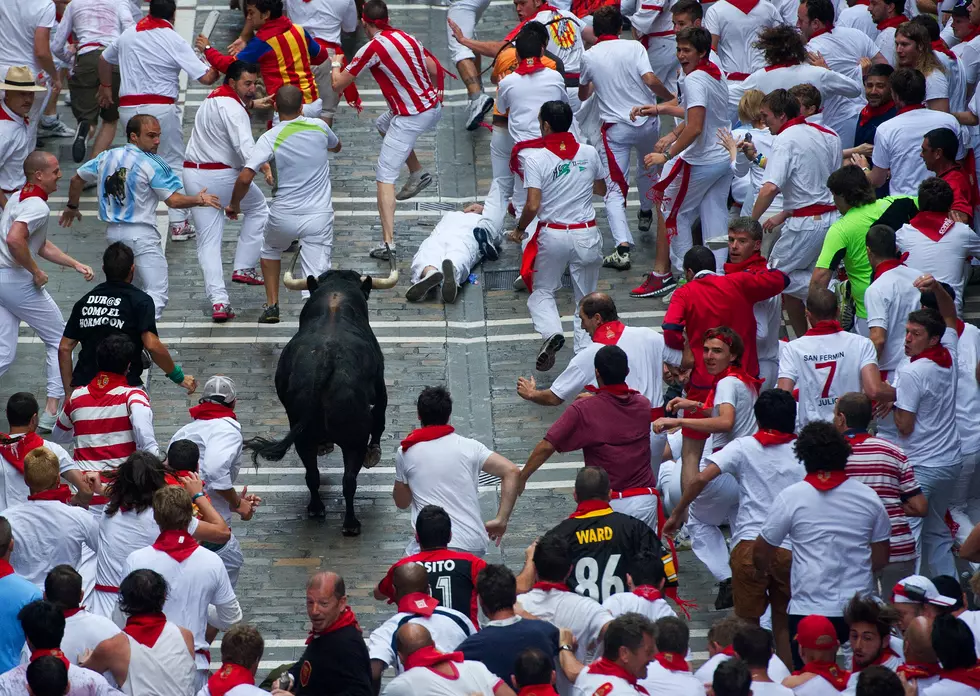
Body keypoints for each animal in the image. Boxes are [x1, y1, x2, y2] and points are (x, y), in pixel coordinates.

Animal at [243, 264, 396, 536]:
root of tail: (327, 359)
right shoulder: (380, 386)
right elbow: (380, 417)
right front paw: (375, 453)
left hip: (302, 436)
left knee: (312, 474)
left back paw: (316, 508)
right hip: (354, 439)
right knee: (349, 480)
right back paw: (351, 524)